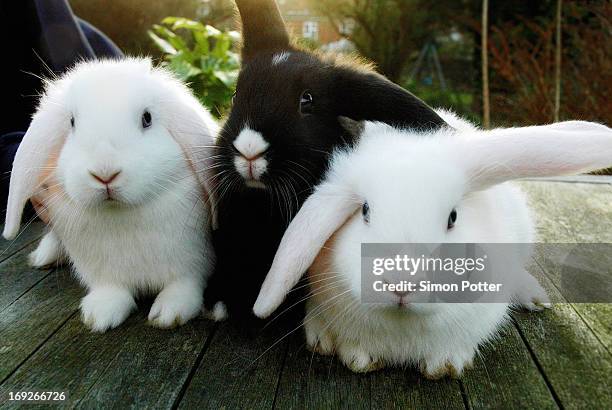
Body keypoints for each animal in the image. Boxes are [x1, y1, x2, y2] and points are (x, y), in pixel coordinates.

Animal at [3, 58, 219, 334]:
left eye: (147, 118)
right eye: (72, 122)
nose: (104, 173)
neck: (122, 215)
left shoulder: (192, 263)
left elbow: (184, 284)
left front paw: (169, 313)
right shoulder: (103, 272)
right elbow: (111, 290)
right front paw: (99, 315)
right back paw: (44, 256)